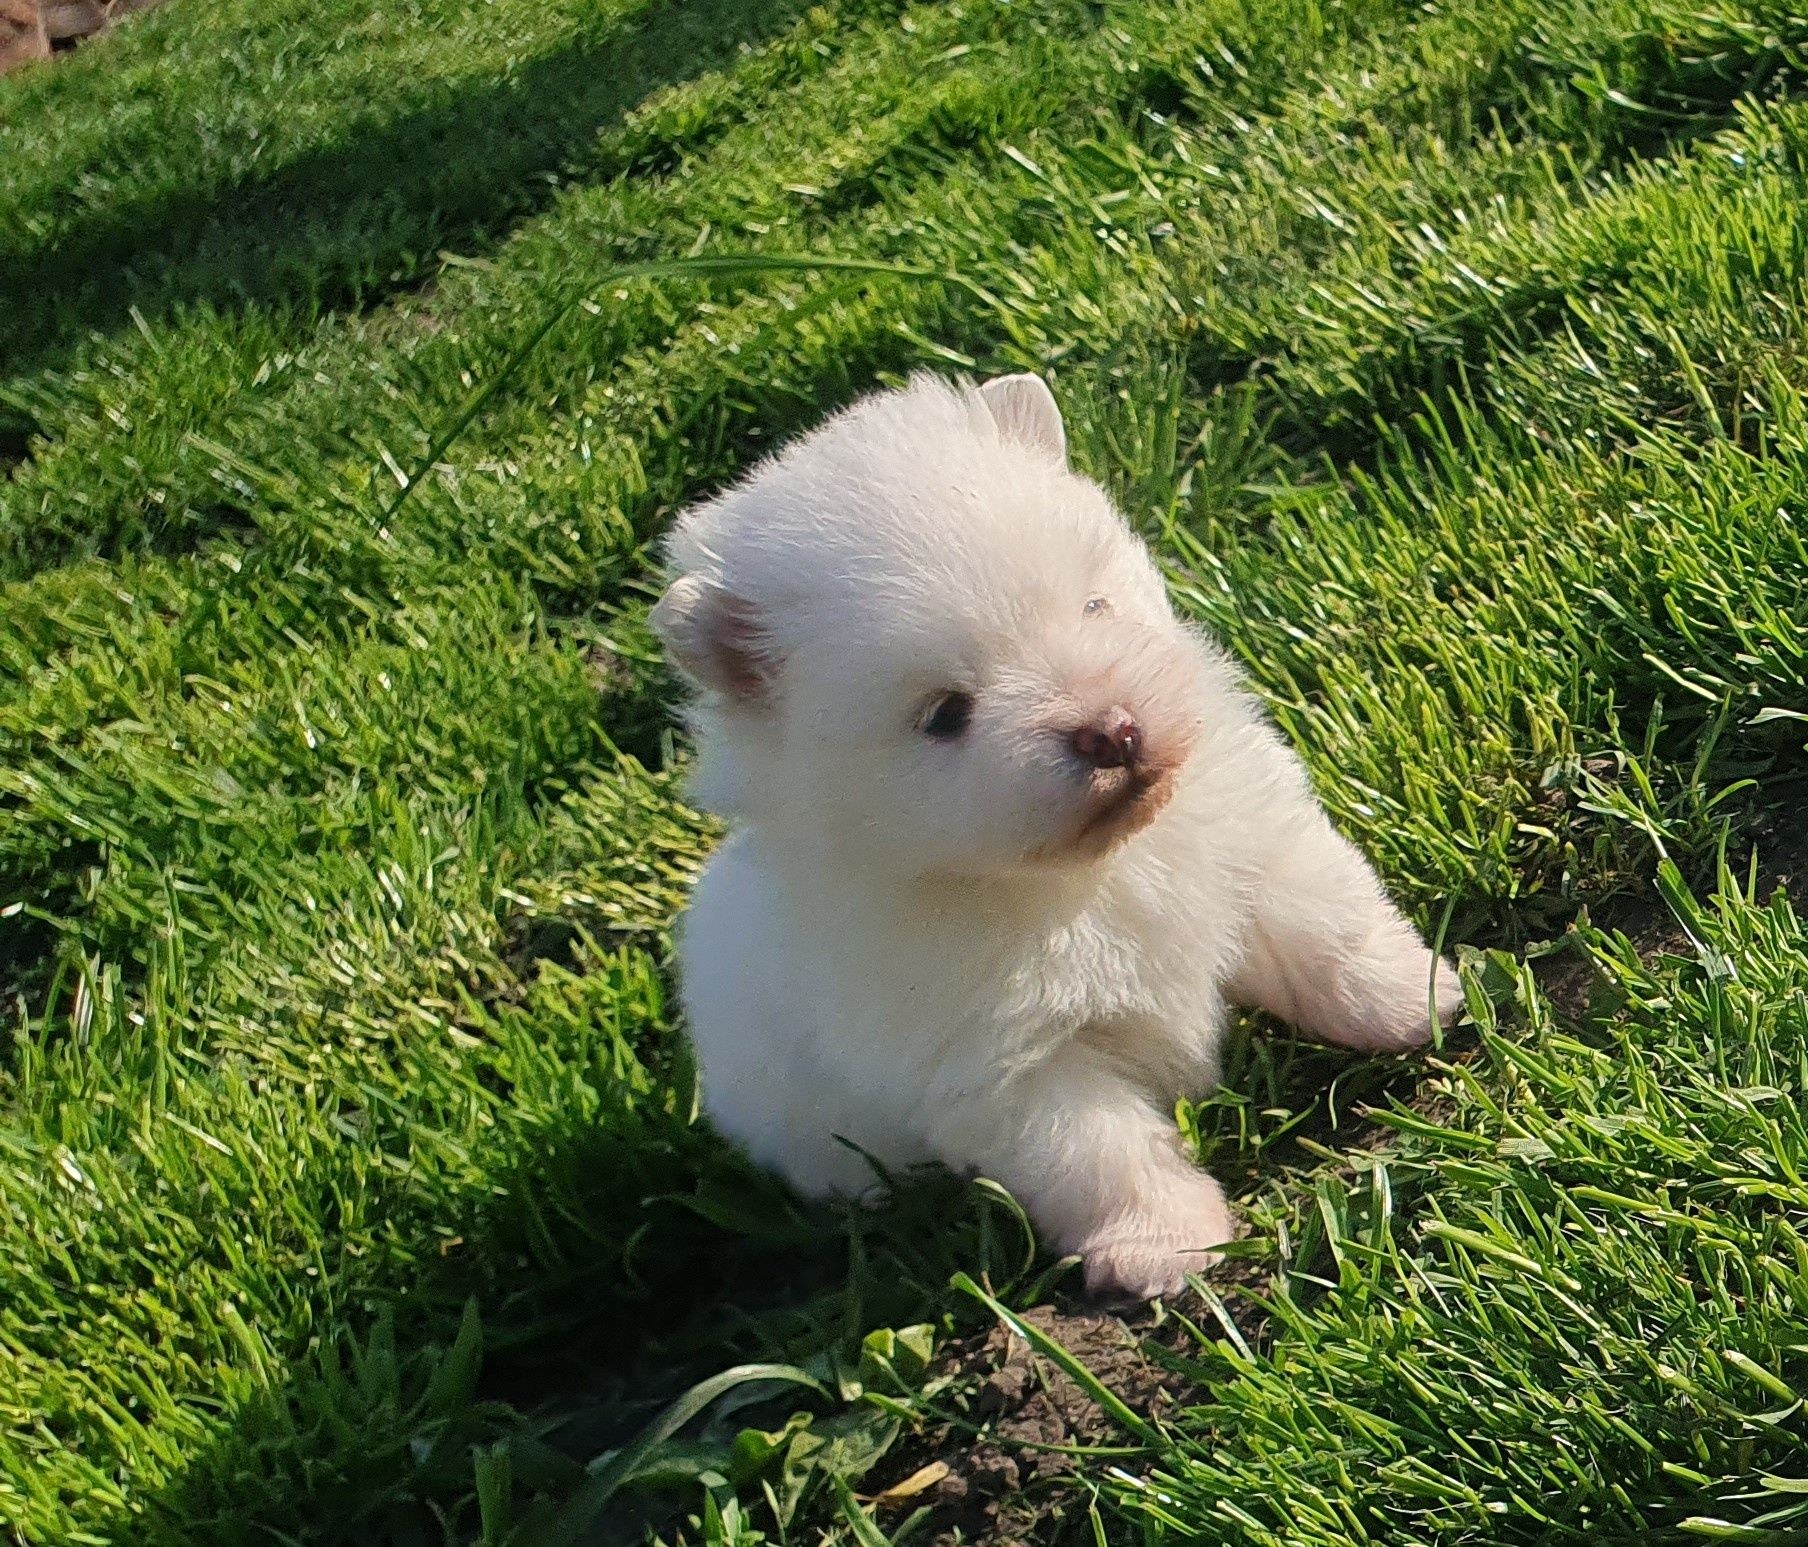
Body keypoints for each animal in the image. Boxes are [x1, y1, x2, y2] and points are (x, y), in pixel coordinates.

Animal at [650, 374, 1453, 1308]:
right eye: (946, 713)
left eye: (1092, 606)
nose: (1113, 729)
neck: (1089, 872)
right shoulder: (1010, 1065)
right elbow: (1101, 1153)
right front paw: (1165, 1245)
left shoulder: (1258, 843)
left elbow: (1331, 934)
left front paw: (1420, 998)